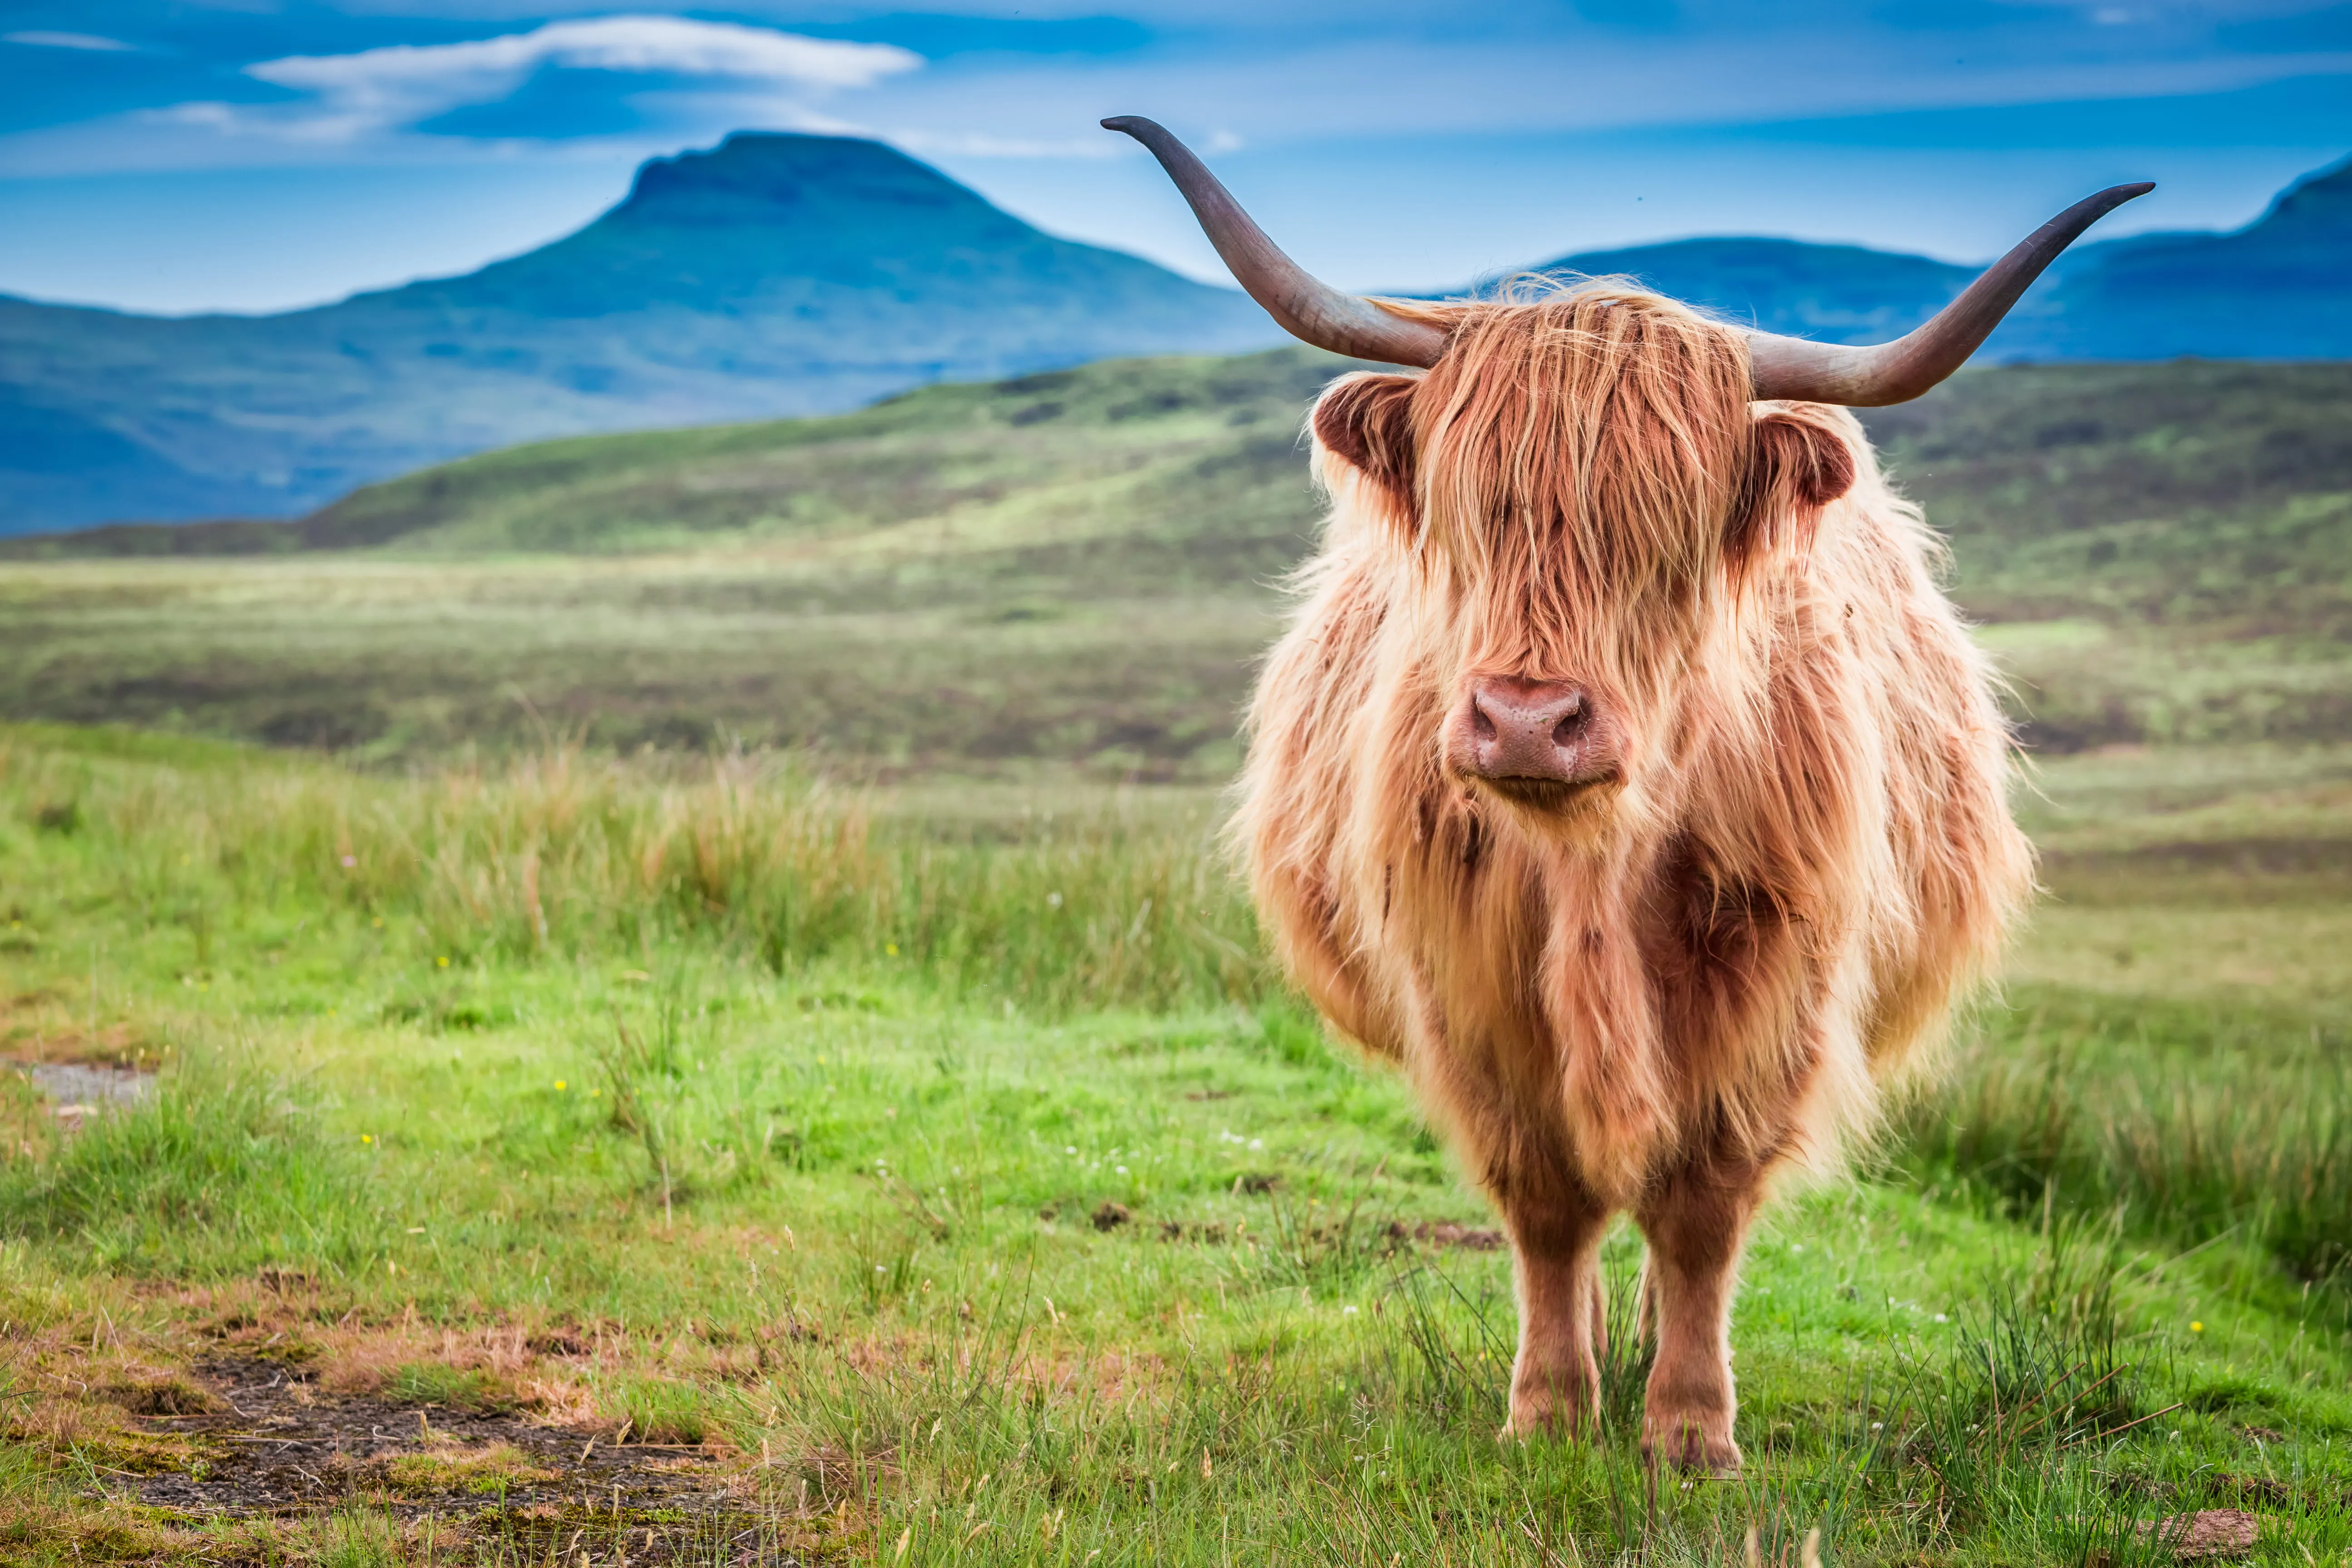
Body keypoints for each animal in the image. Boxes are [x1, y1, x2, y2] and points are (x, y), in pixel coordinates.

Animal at [1105, 116, 2150, 1474]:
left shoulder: (1771, 995)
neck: (1593, 866)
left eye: (1669, 530)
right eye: (1470, 512)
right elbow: (1547, 1205)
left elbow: (1701, 1209)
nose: (1526, 721)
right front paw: (1550, 1406)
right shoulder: (1470, 997)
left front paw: (1691, 1428)